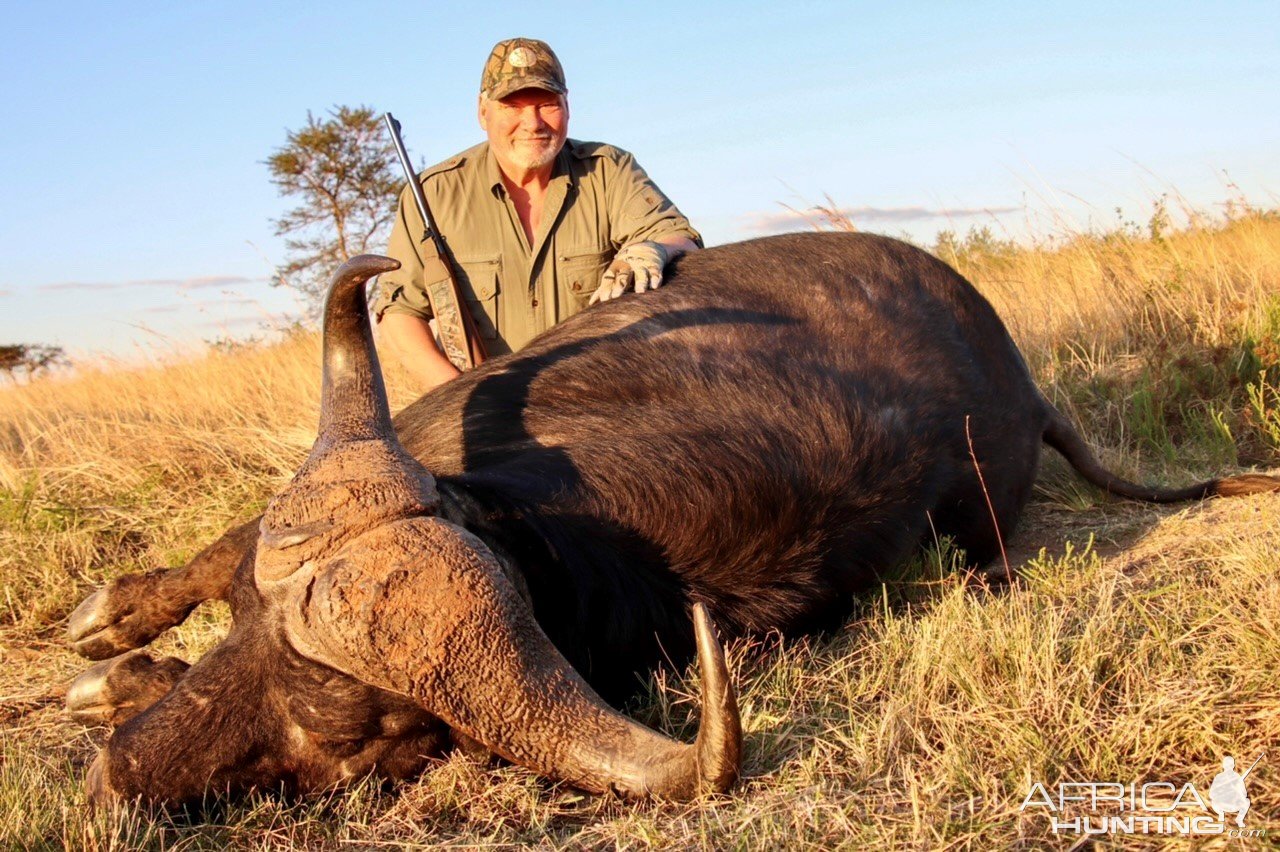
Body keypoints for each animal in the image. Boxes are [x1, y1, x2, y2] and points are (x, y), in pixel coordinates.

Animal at [62, 230, 1280, 803]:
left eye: (347, 739)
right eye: (248, 631)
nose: (117, 778)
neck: (555, 536)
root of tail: (1029, 391)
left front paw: (120, 678)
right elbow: (221, 549)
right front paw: (117, 634)